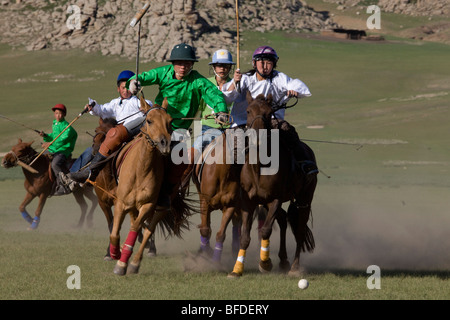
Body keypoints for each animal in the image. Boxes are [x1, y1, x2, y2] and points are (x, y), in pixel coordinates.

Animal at [109, 97, 193, 276]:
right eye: (149, 120)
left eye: (170, 121)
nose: (164, 144)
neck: (140, 168)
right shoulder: (121, 203)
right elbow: (115, 233)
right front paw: (116, 253)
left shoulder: (148, 205)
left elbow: (137, 228)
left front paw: (122, 262)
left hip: (160, 208)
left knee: (148, 230)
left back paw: (133, 263)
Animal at [229, 93, 316, 278]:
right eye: (248, 110)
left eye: (269, 113)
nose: (257, 136)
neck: (259, 167)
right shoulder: (249, 202)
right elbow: (245, 237)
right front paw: (237, 269)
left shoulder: (275, 199)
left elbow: (265, 230)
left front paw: (265, 263)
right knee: (283, 220)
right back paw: (283, 260)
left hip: (304, 199)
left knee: (299, 230)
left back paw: (294, 267)